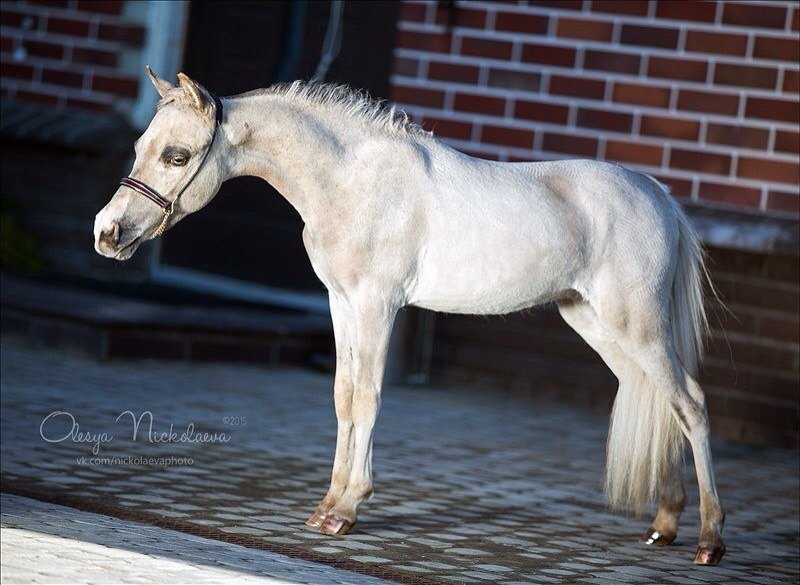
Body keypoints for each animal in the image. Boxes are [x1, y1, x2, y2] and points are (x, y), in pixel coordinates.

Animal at [94, 67, 724, 560]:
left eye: (177, 155)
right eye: (139, 148)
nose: (107, 233)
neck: (351, 180)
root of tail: (659, 195)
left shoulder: (377, 304)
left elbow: (368, 397)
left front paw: (346, 510)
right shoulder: (342, 303)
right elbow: (343, 395)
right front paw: (326, 504)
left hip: (636, 325)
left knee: (691, 404)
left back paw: (708, 542)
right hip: (597, 324)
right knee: (661, 400)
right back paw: (664, 525)